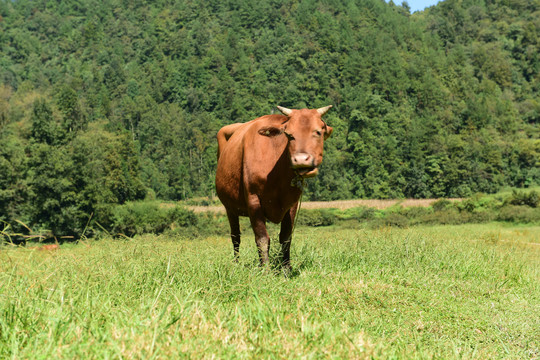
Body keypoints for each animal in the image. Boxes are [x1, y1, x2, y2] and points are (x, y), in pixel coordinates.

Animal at [215, 105, 334, 268]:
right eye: (289, 135)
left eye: (318, 132)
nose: (301, 160)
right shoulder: (253, 200)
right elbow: (262, 239)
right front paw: (265, 269)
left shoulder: (292, 203)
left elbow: (285, 238)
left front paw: (286, 268)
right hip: (229, 208)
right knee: (235, 237)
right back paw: (236, 264)